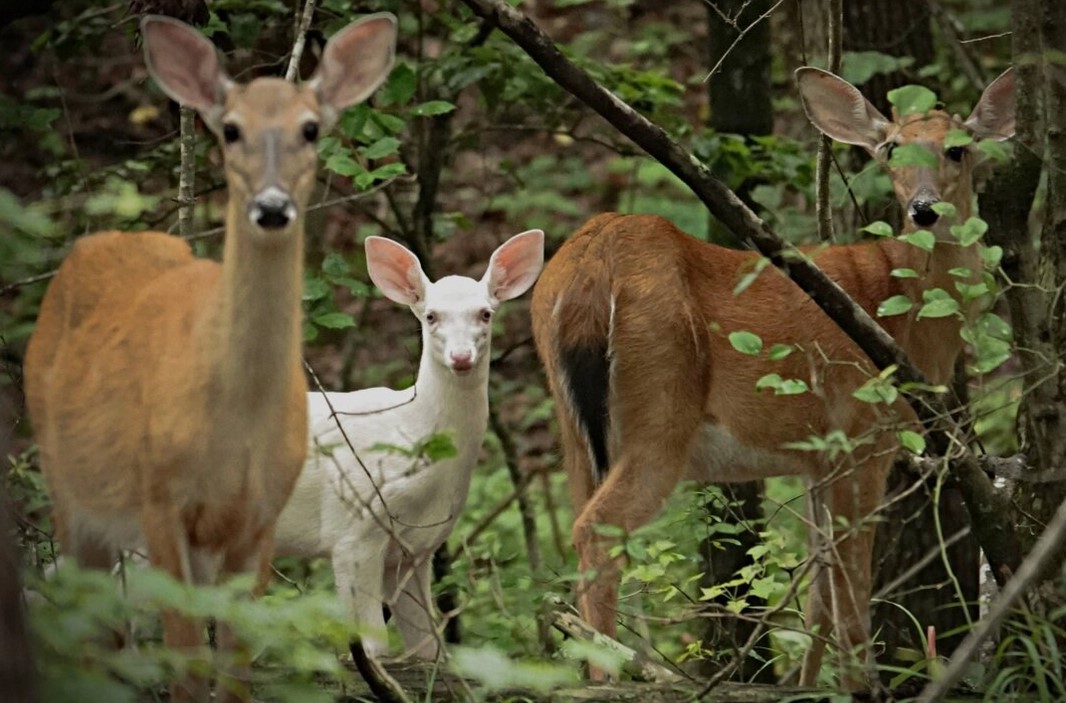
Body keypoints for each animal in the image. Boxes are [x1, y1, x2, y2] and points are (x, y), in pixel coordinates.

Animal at [23, 16, 400, 703]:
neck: (236, 419)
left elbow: (234, 670)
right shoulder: (160, 501)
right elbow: (186, 664)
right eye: (230, 129)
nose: (272, 207)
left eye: (311, 128)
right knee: (94, 629)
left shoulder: (260, 517)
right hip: (69, 489)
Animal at [270, 229, 545, 661]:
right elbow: (373, 649)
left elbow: (431, 650)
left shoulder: (417, 550)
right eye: (430, 315)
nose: (461, 357)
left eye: (485, 313)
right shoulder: (352, 531)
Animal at [533, 67, 1014, 686]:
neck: (902, 312)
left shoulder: (815, 458)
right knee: (596, 533)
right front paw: (860, 686)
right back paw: (611, 678)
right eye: (889, 148)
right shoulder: (861, 436)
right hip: (659, 410)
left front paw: (808, 687)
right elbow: (851, 593)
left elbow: (818, 595)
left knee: (577, 529)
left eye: (958, 148)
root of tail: (590, 263)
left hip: (573, 427)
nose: (924, 209)